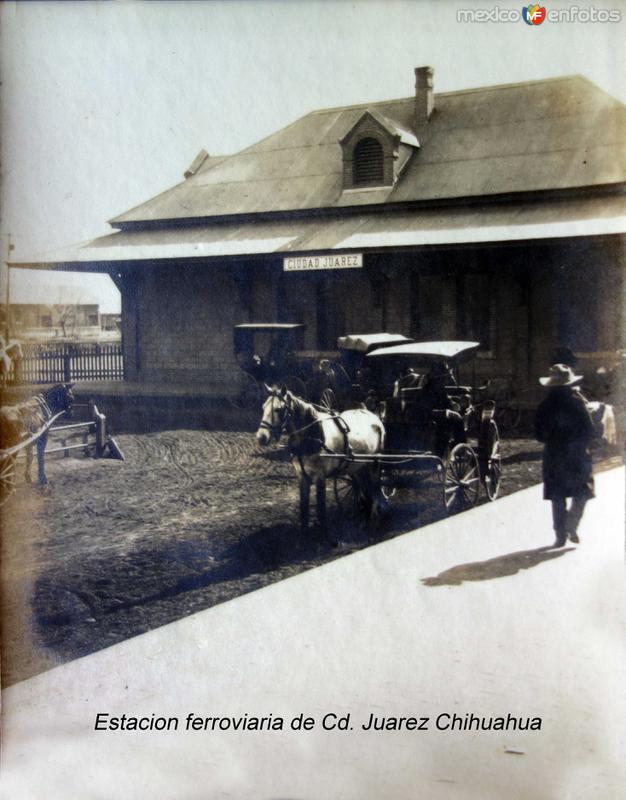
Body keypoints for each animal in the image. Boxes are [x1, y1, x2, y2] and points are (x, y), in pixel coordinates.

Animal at [255, 384, 386, 540]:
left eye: (278, 409)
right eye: (263, 407)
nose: (261, 437)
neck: (313, 436)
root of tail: (373, 416)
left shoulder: (320, 477)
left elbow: (321, 509)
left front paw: (324, 537)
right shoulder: (302, 476)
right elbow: (303, 508)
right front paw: (304, 536)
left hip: (375, 461)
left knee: (376, 489)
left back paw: (375, 520)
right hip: (357, 466)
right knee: (362, 487)